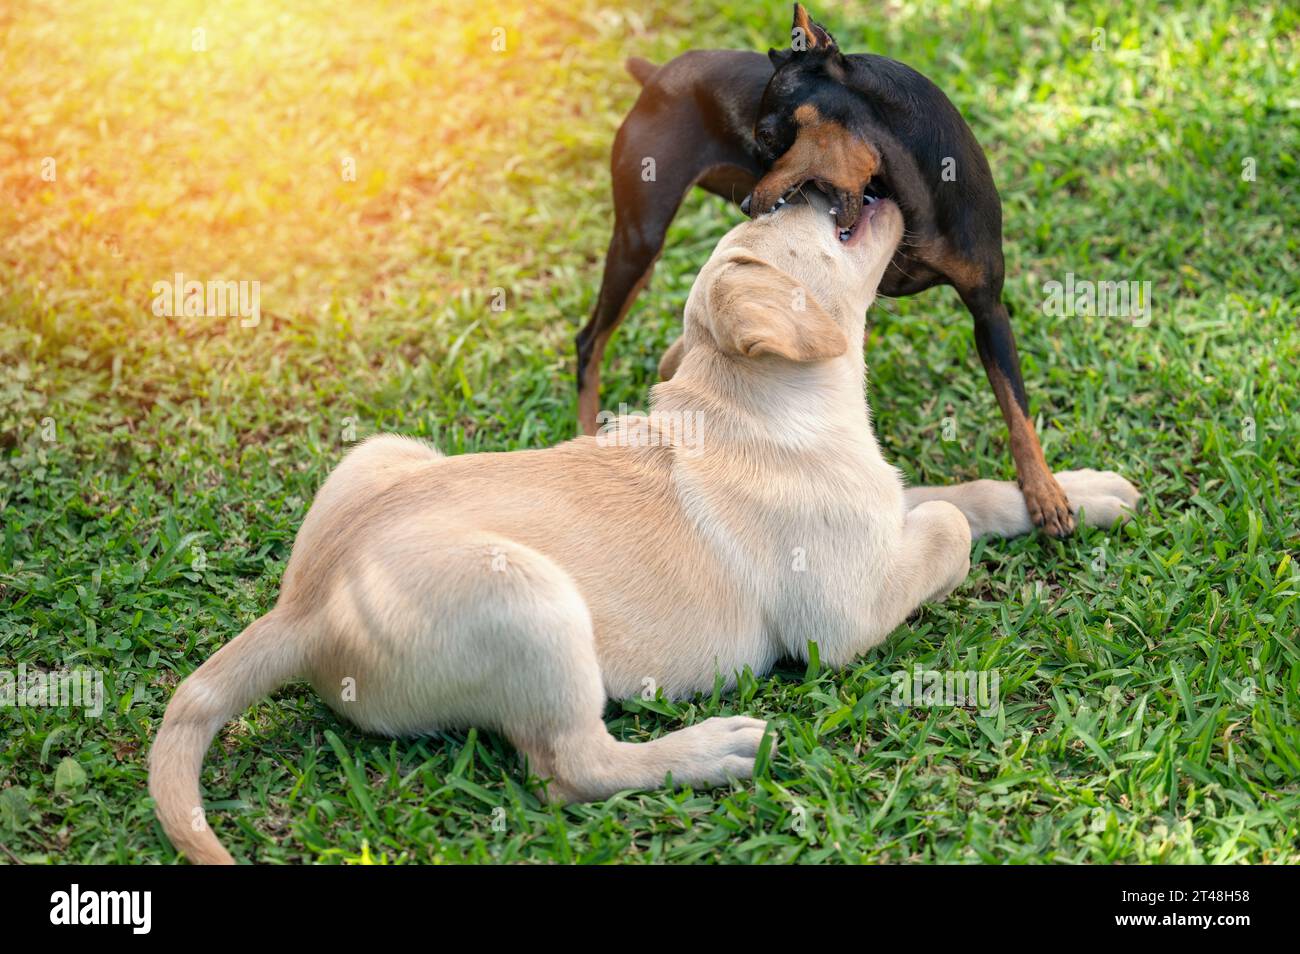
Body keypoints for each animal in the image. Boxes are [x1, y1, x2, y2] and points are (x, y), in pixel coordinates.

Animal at [149, 188, 1128, 868]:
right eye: (786, 223)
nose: (806, 186)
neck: (755, 405)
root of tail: (302, 611)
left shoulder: (881, 509)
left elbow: (963, 494)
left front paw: (1076, 493)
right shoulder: (843, 618)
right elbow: (949, 529)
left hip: (385, 453)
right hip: (529, 599)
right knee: (573, 768)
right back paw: (718, 748)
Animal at [579, 1, 1076, 538]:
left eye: (766, 136)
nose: (748, 205)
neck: (914, 186)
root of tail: (655, 75)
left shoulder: (988, 311)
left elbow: (1016, 408)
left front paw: (1044, 491)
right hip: (639, 241)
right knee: (589, 341)